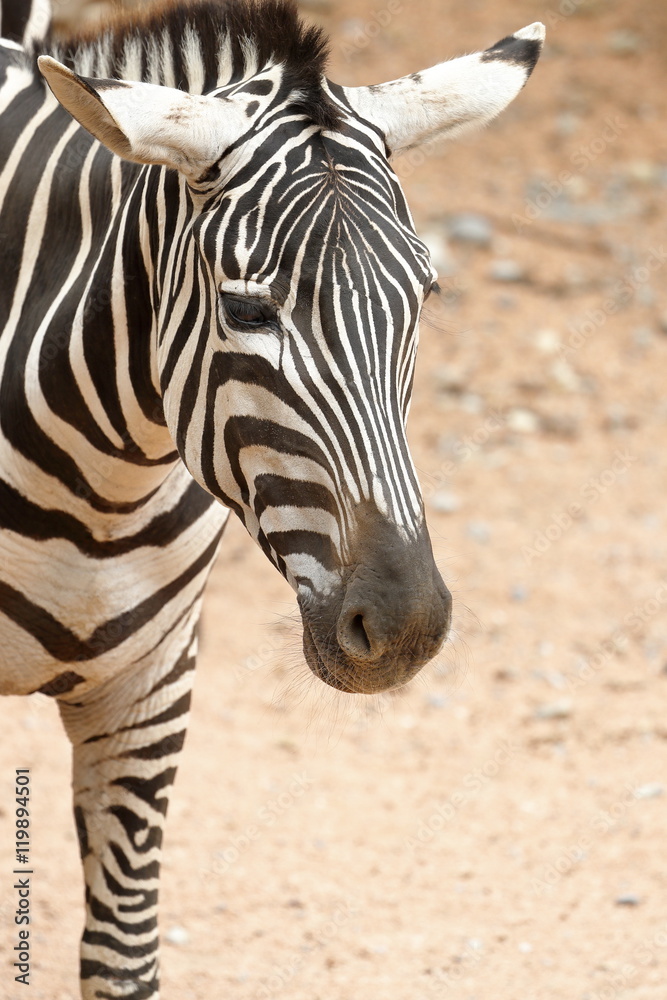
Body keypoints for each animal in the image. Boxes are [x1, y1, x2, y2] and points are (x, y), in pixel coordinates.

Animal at [0, 0, 544, 995]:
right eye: (249, 313)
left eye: (424, 296)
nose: (403, 627)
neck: (100, 487)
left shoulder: (150, 691)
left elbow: (122, 957)